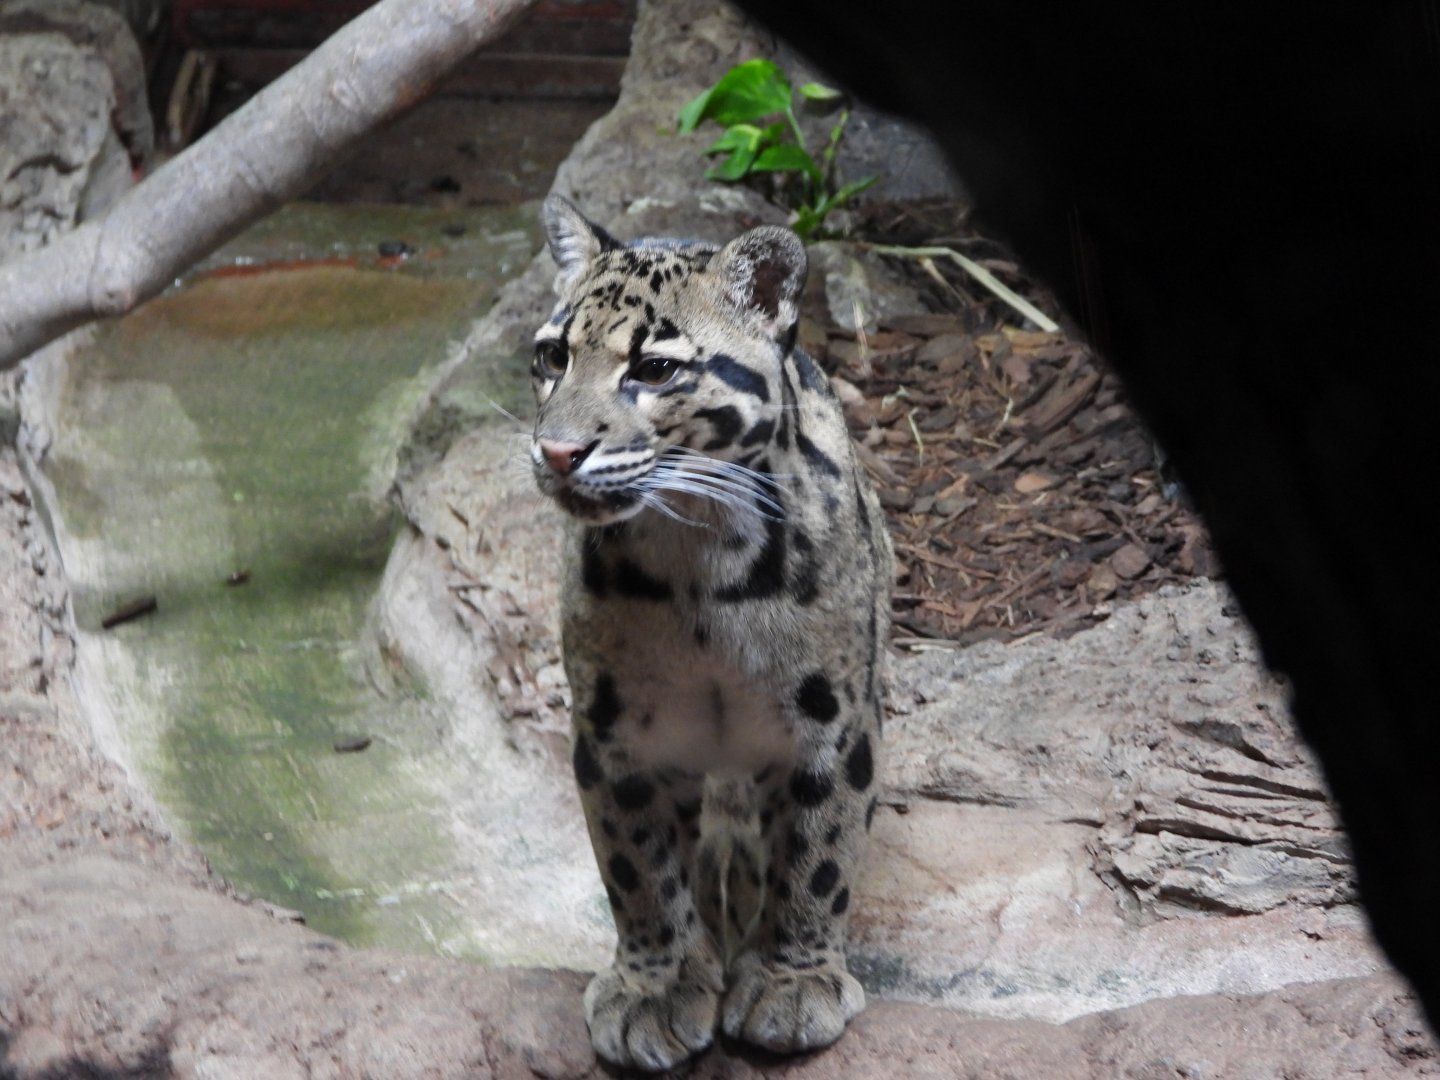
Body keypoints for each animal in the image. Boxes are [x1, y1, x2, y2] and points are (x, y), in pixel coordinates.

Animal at [529, 195, 893, 1072]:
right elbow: (638, 868)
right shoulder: (614, 730)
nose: (557, 450)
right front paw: (655, 988)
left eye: (655, 370)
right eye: (552, 356)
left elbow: (820, 853)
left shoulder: (834, 720)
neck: (694, 558)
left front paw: (795, 983)